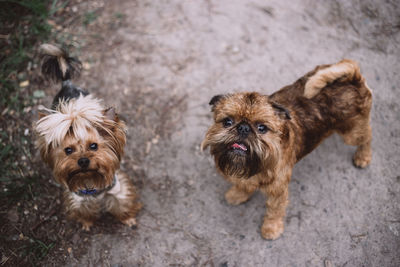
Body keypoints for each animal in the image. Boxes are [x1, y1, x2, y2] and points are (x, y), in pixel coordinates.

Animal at [35, 44, 142, 230]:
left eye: (94, 146)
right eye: (68, 150)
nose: (83, 160)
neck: (90, 179)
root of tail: (67, 82)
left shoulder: (117, 188)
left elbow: (121, 202)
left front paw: (128, 218)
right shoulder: (78, 197)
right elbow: (83, 209)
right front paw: (86, 222)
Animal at [202, 59, 374, 240]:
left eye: (262, 128)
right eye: (227, 122)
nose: (243, 128)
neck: (257, 165)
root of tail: (353, 77)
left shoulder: (278, 191)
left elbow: (274, 210)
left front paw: (271, 228)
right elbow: (244, 185)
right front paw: (238, 194)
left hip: (351, 133)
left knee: (368, 136)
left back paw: (363, 157)